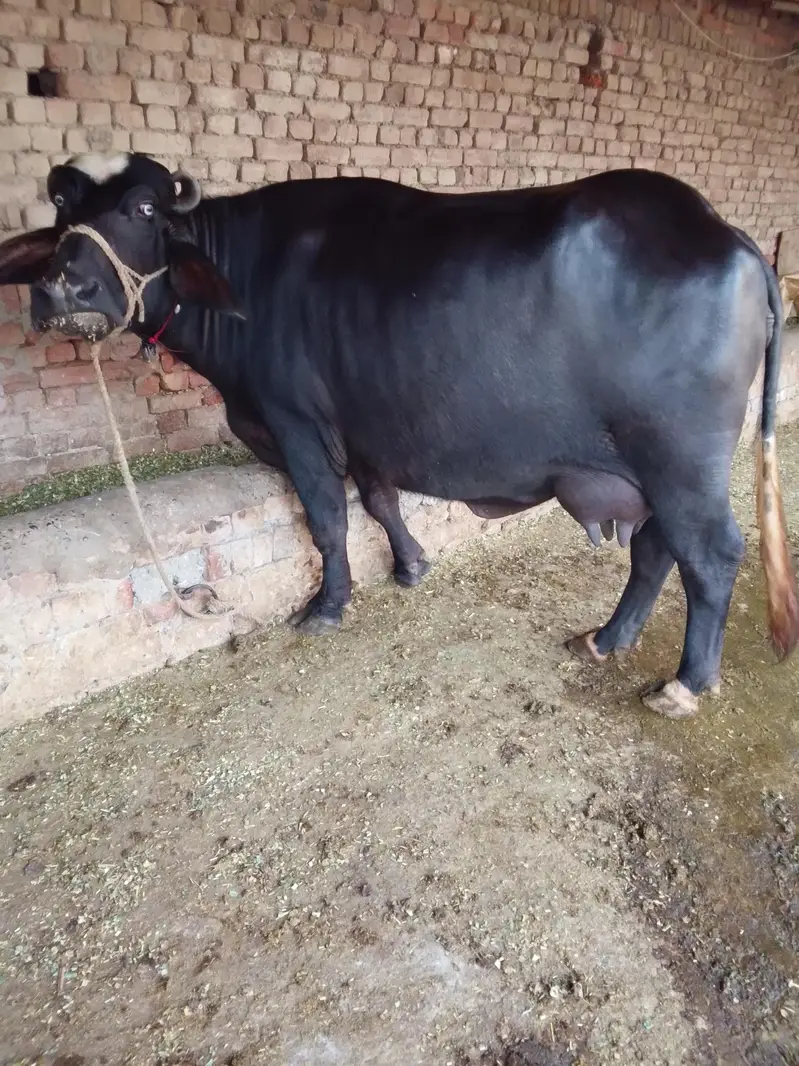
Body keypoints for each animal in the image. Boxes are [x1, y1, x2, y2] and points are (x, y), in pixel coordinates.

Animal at [0, 151, 796, 720]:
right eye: (63, 206)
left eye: (142, 208)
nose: (62, 290)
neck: (247, 275)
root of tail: (728, 239)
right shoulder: (363, 425)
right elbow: (378, 500)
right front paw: (412, 565)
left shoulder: (294, 421)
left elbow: (326, 518)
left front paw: (327, 605)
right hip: (651, 471)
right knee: (658, 549)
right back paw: (605, 639)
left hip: (679, 462)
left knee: (711, 555)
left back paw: (684, 683)